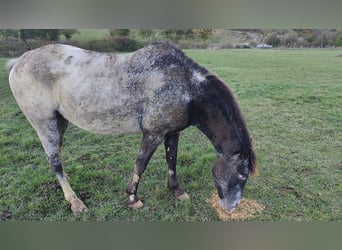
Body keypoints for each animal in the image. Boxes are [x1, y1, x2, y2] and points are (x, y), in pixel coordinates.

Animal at [7, 42, 256, 215]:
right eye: (242, 175)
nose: (231, 208)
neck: (187, 89)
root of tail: (18, 62)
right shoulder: (153, 133)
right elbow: (140, 164)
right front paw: (132, 198)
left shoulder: (172, 132)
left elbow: (172, 161)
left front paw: (177, 191)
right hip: (44, 122)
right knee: (55, 162)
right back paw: (76, 202)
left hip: (60, 121)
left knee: (55, 156)